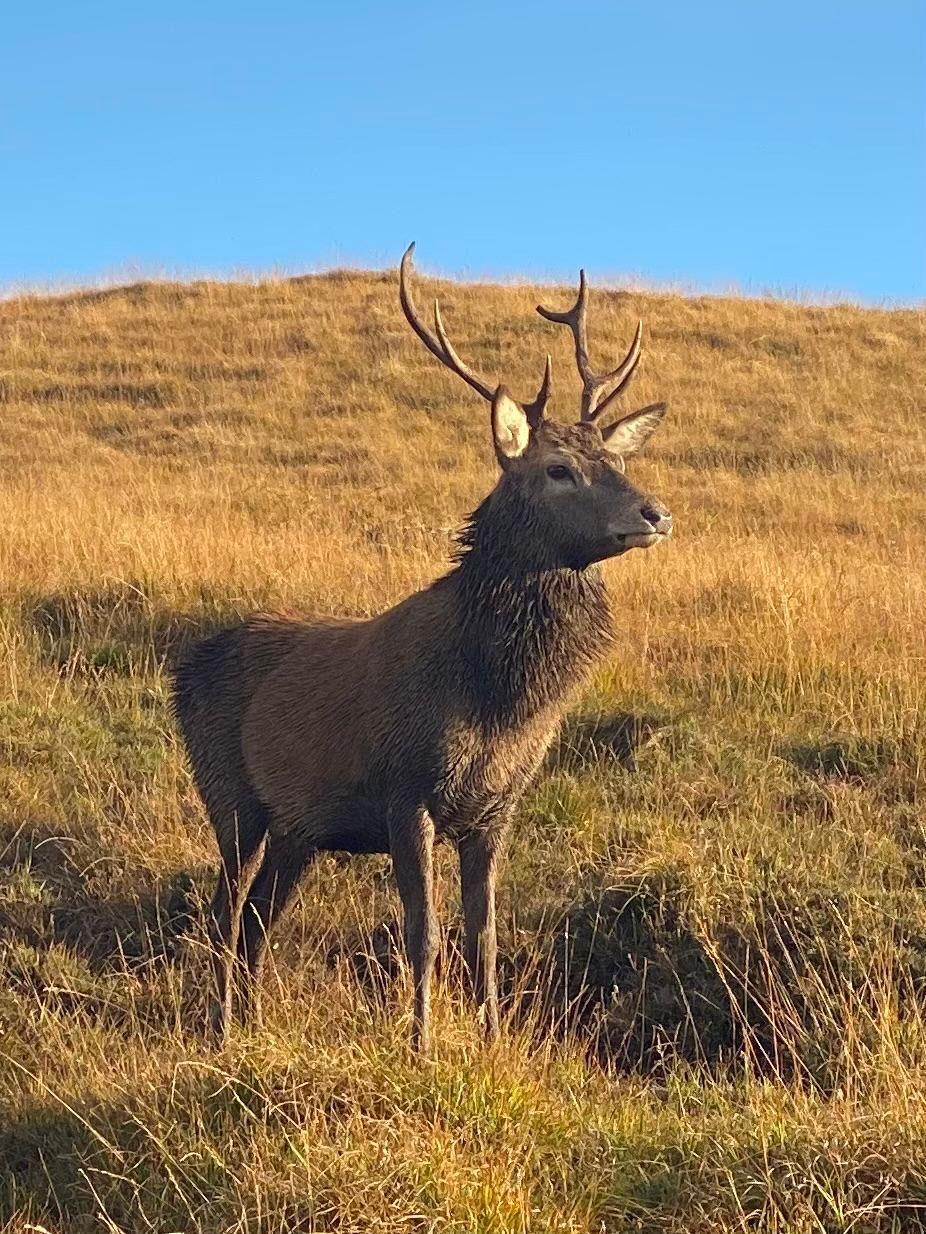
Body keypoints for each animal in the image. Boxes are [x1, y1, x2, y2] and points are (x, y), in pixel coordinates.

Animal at [170, 245, 676, 1056]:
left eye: (612, 459)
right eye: (556, 469)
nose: (654, 512)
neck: (500, 703)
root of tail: (181, 668)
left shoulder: (496, 808)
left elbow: (486, 936)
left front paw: (494, 1043)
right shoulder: (405, 789)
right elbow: (425, 934)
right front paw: (423, 1047)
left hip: (299, 828)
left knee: (255, 922)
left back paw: (248, 1025)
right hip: (229, 793)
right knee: (224, 912)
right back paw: (217, 1031)